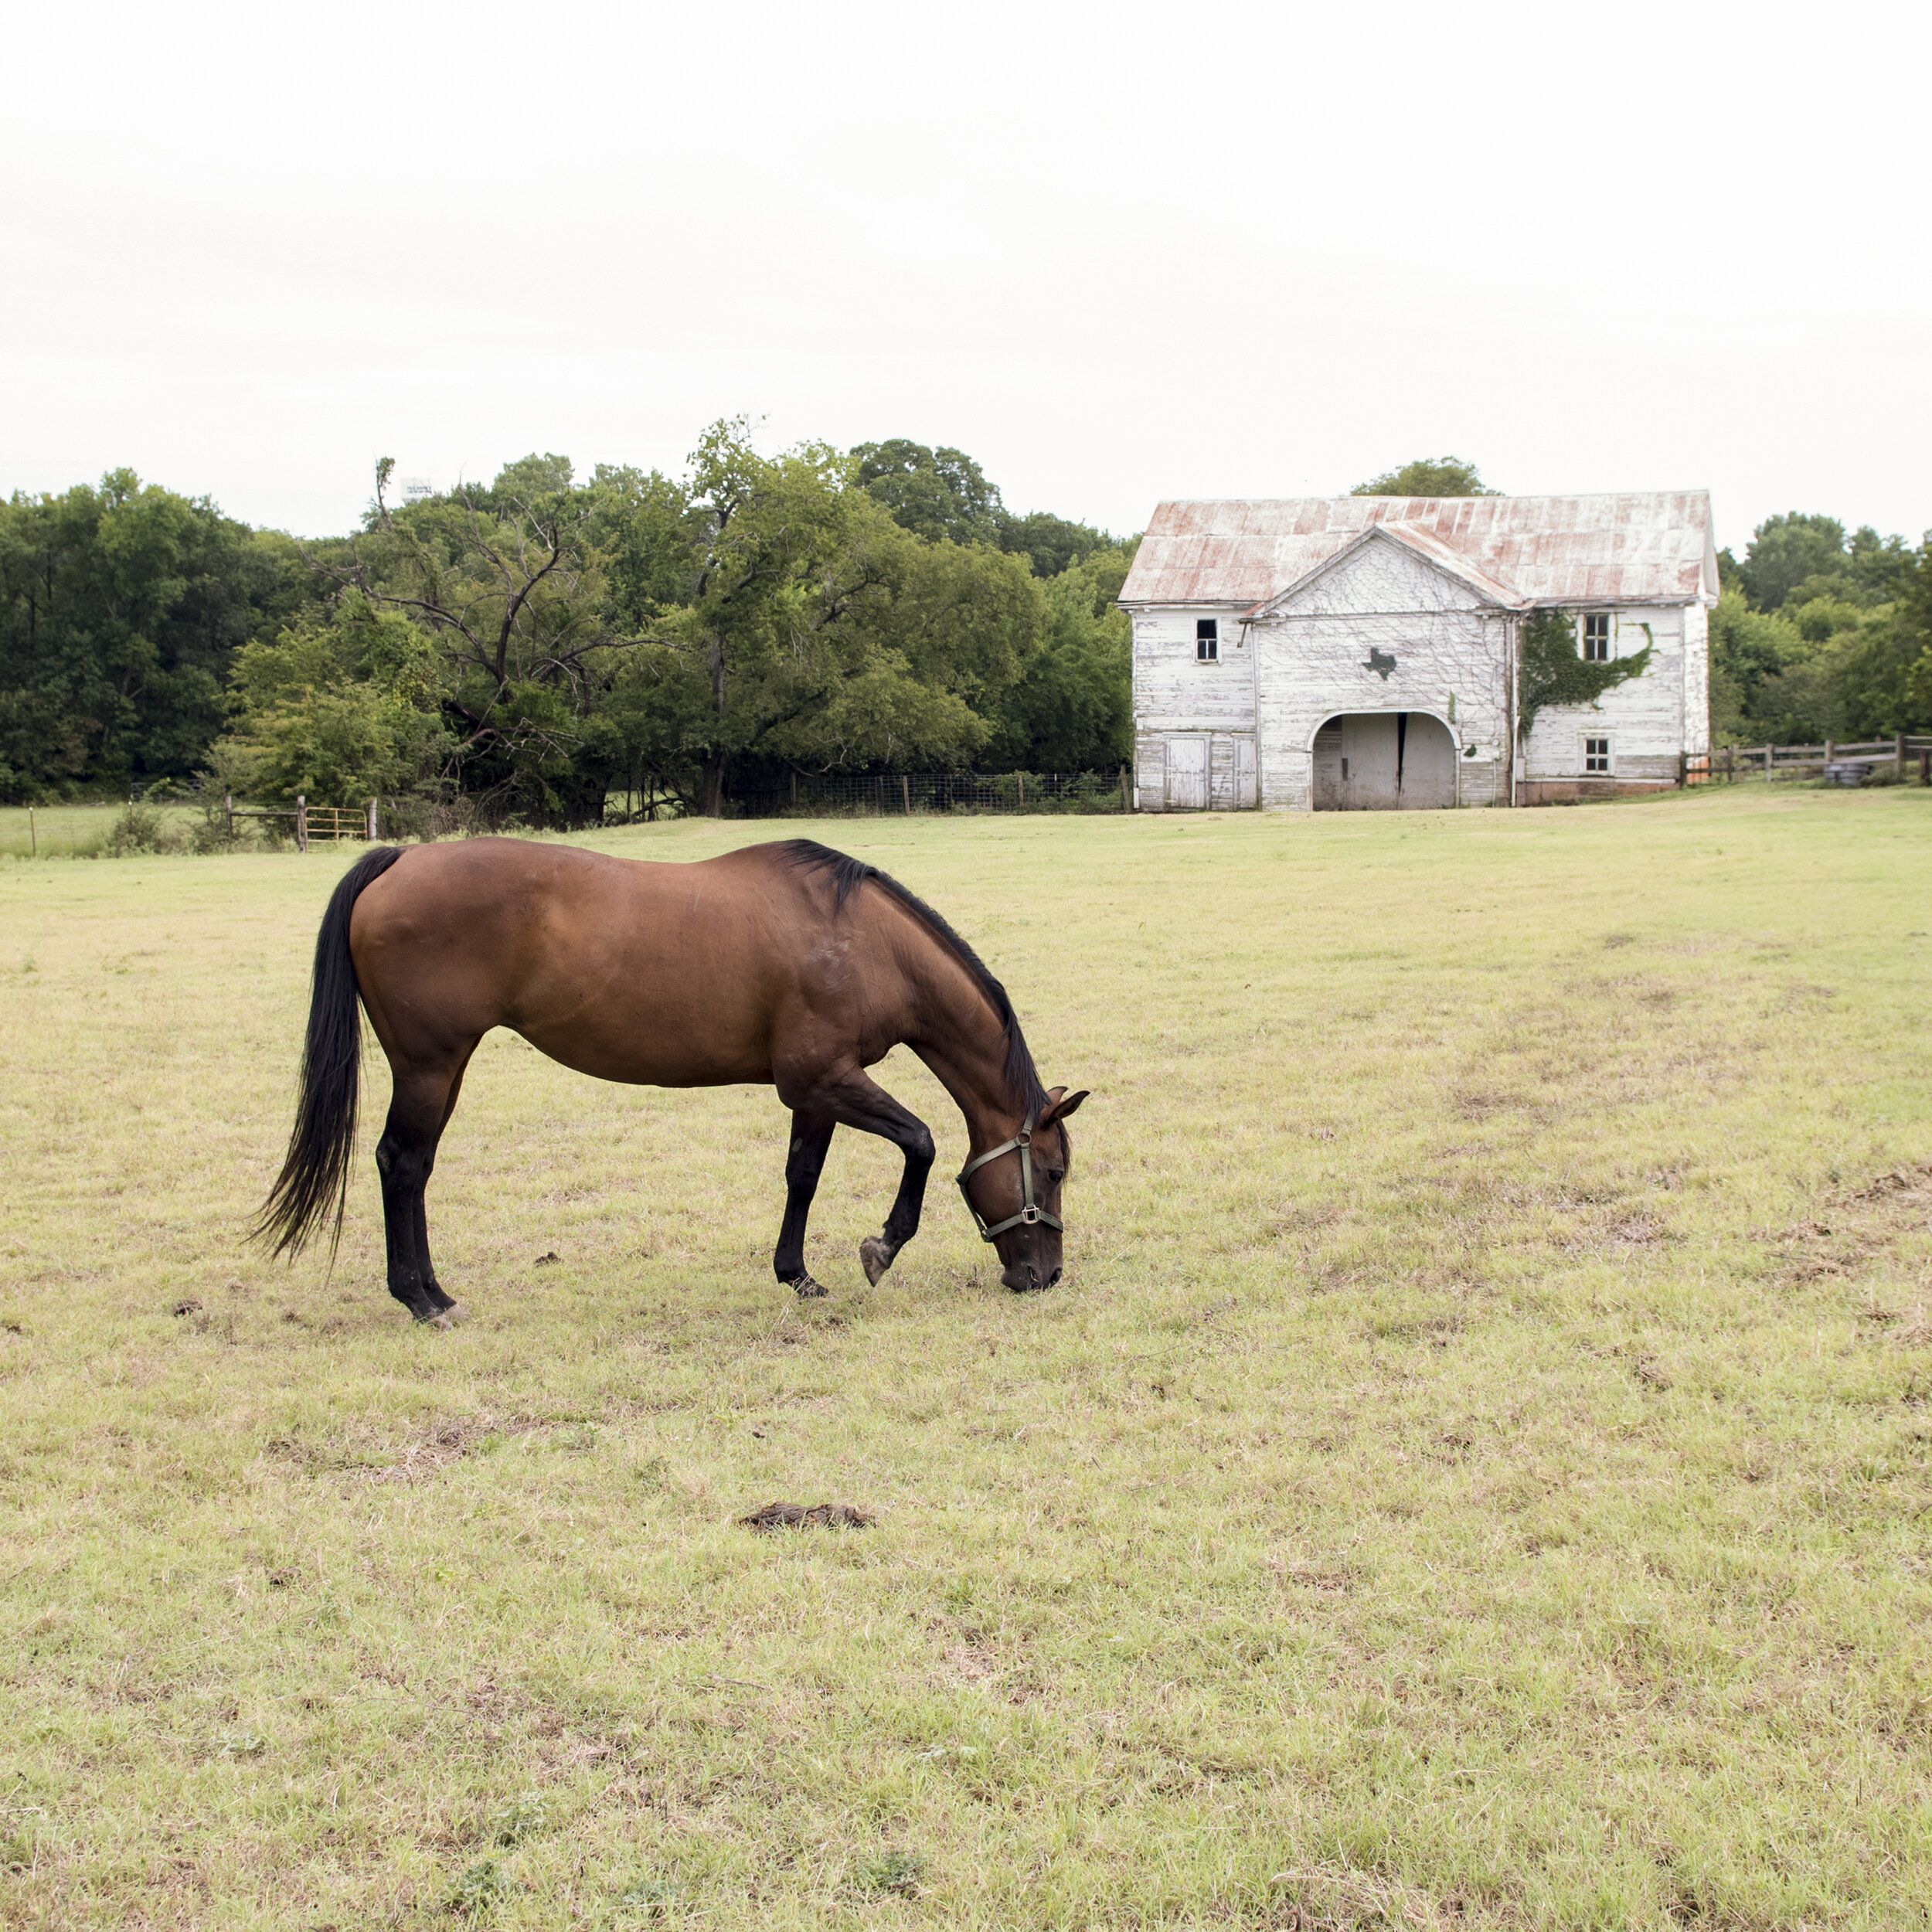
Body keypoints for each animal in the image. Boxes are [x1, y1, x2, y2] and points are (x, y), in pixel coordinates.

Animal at [257, 838, 1090, 1321]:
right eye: (1051, 1173)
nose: (1044, 1276)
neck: (861, 939)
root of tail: (399, 857)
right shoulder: (826, 1079)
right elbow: (918, 1142)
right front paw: (881, 1246)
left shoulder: (814, 1089)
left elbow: (803, 1176)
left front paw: (797, 1274)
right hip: (431, 1066)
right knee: (402, 1165)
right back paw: (422, 1298)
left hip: (439, 1066)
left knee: (413, 1167)